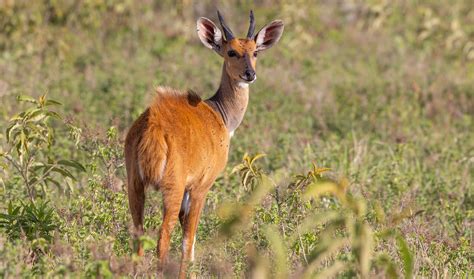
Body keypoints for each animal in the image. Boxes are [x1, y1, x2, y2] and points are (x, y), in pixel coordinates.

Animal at [124, 9, 284, 278]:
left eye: (255, 52)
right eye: (231, 51)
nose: (249, 74)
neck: (220, 116)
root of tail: (153, 124)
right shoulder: (200, 186)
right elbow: (189, 241)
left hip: (134, 183)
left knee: (138, 233)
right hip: (173, 187)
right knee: (163, 236)